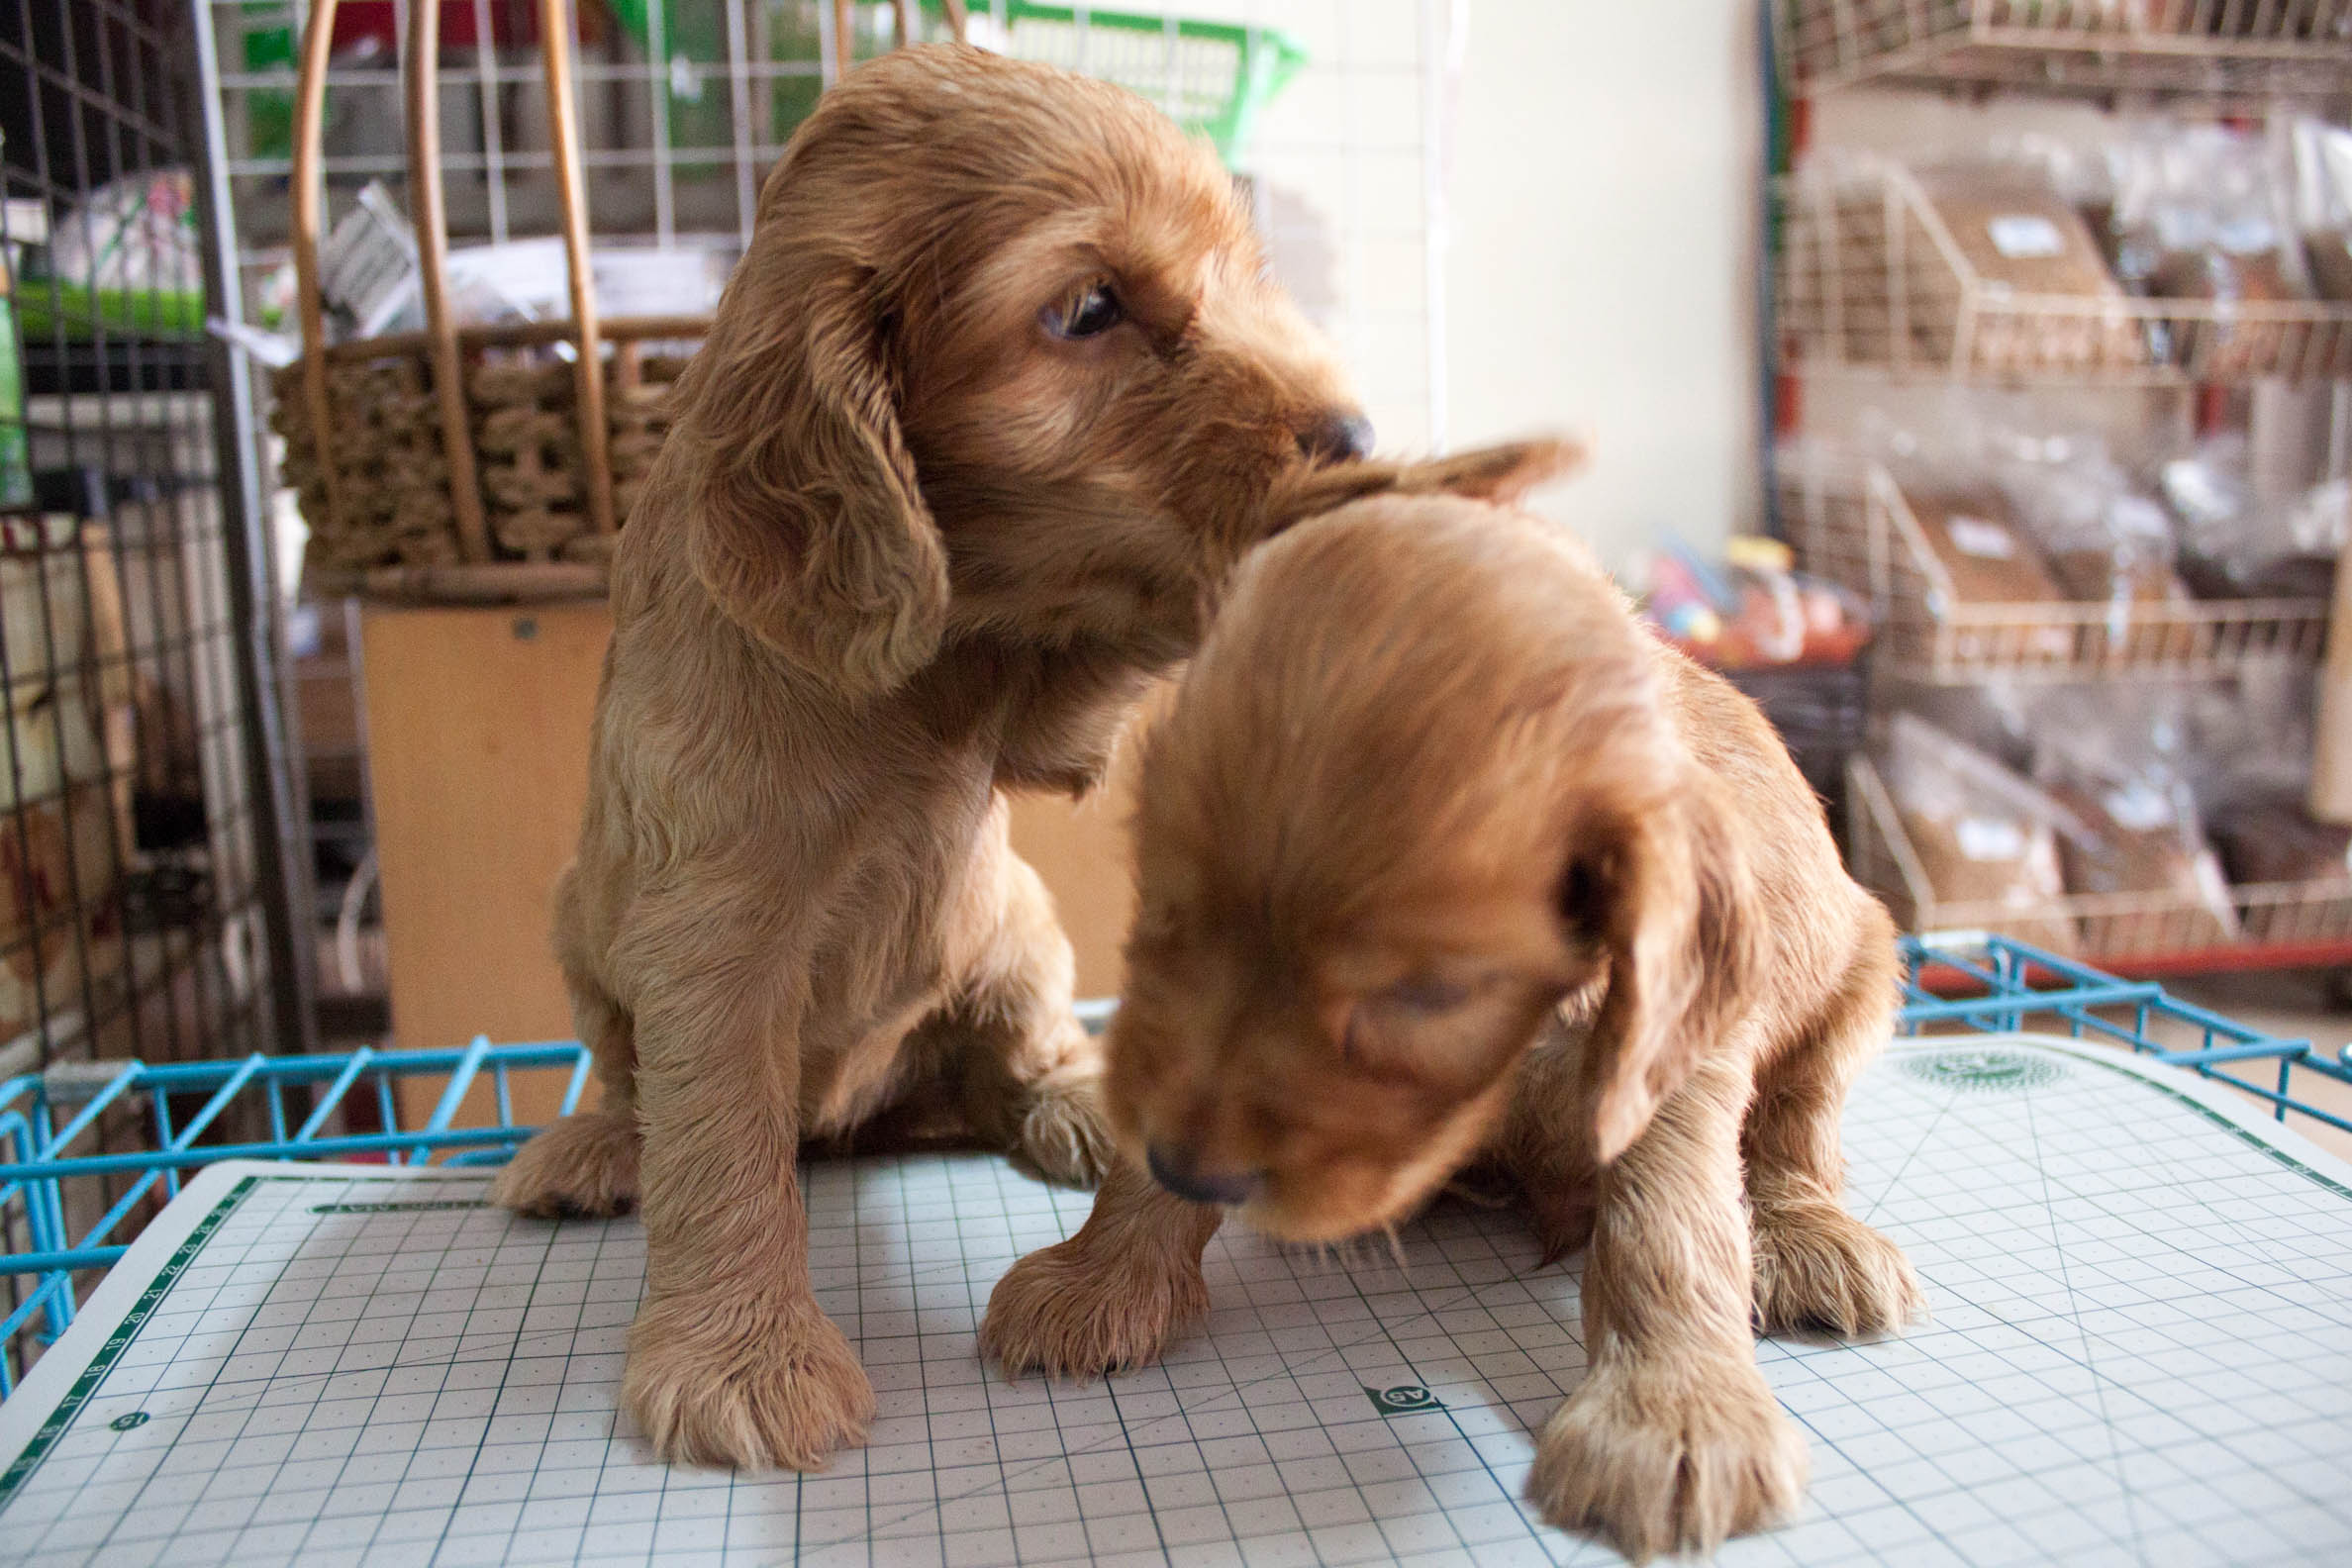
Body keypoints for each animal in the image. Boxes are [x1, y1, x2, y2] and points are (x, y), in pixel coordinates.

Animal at [488, 38, 1570, 1474]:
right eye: (1089, 307)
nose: (1351, 435)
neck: (945, 627)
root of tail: (866, 1114)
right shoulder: (711, 932)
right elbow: (716, 1143)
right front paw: (742, 1364)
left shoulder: (1027, 703)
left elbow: (1122, 638)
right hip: (579, 933)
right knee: (630, 1076)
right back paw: (593, 1147)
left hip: (1014, 923)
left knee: (1011, 1052)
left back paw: (1075, 1106)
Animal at [980, 496, 1925, 1560]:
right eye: (1164, 915)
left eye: (1425, 995)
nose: (1196, 1168)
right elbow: (1146, 1140)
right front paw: (1097, 1275)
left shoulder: (1676, 1039)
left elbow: (1671, 1220)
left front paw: (1673, 1417)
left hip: (1865, 969)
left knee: (1799, 1127)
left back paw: (1806, 1237)